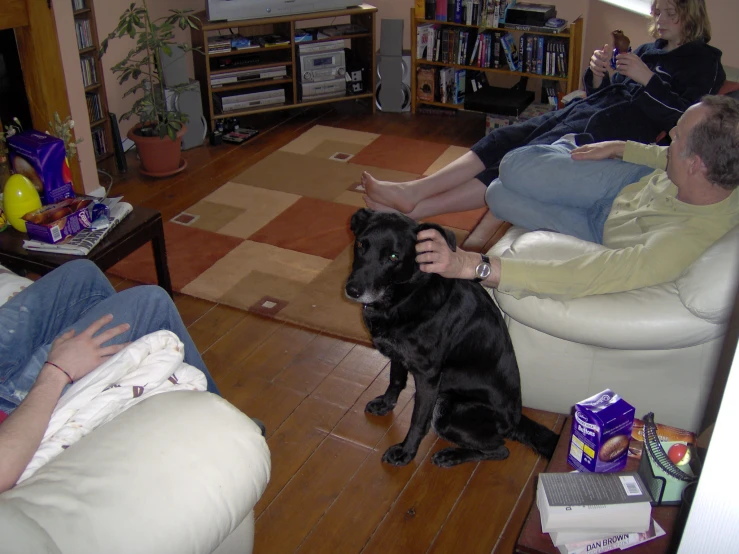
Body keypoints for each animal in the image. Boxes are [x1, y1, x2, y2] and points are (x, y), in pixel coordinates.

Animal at [344, 208, 556, 466]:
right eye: (361, 245)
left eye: (393, 257)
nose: (352, 290)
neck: (405, 295)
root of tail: (515, 421)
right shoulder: (398, 355)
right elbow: (395, 380)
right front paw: (386, 404)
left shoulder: (428, 377)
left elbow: (418, 420)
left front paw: (406, 453)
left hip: (448, 409)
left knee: (500, 450)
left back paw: (451, 455)